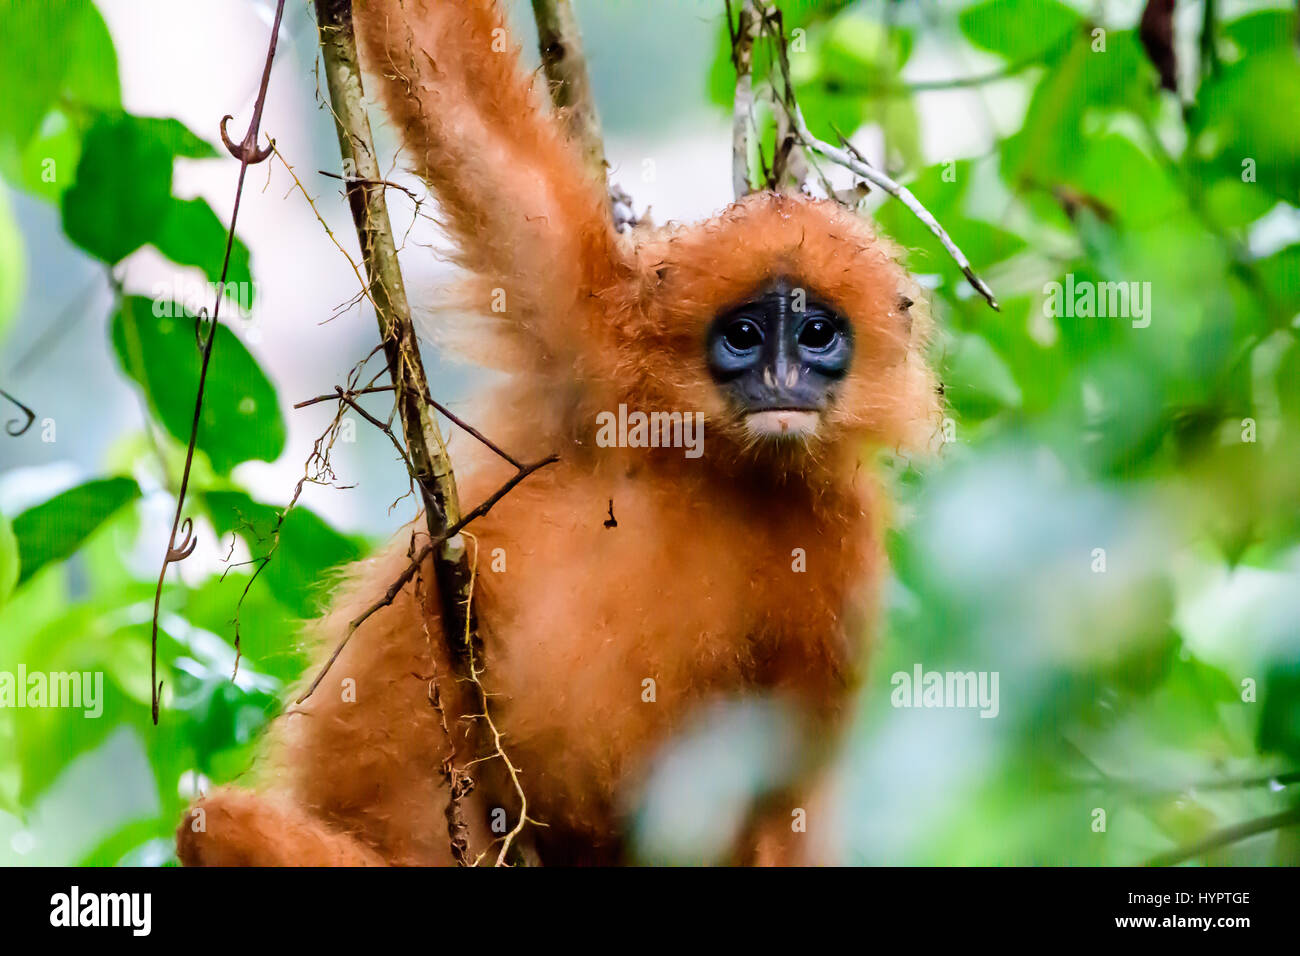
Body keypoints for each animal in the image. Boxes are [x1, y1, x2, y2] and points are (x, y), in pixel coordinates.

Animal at [175, 0, 940, 866]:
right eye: (745, 335)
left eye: (816, 334)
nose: (783, 380)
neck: (721, 461)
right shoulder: (587, 334)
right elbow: (450, 87)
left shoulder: (846, 544)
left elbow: (784, 793)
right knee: (214, 824)